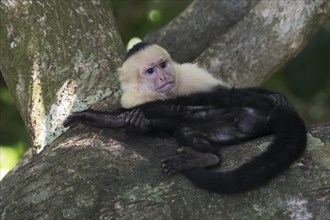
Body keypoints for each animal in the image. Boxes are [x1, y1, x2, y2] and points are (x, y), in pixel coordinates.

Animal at [64, 42, 306, 193]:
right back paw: (206, 157)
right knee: (185, 124)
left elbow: (222, 89)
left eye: (163, 65)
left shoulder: (189, 73)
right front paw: (119, 121)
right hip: (235, 128)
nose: (164, 77)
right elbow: (152, 120)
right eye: (150, 71)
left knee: (224, 97)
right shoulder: (131, 98)